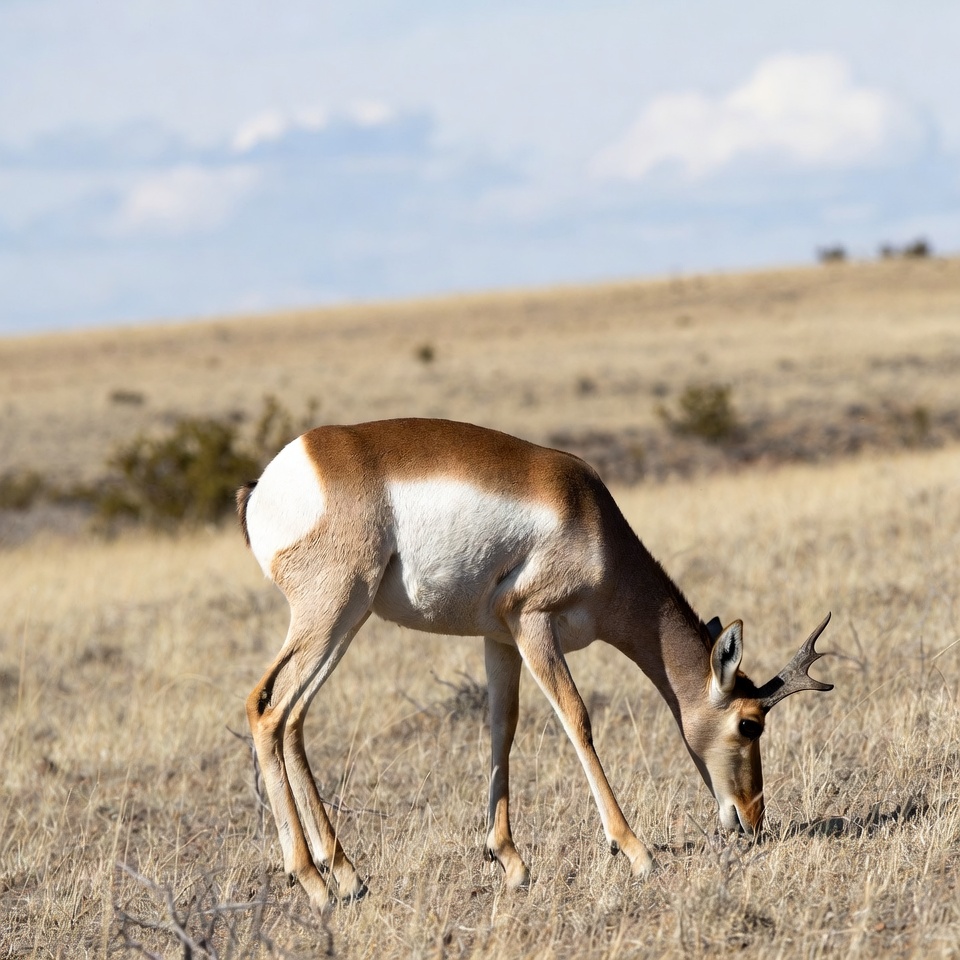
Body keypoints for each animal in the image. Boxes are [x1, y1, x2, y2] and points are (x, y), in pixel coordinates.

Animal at [237, 418, 832, 908]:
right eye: (750, 723)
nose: (752, 820)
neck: (588, 516)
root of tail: (274, 478)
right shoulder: (532, 623)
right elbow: (577, 719)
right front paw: (636, 852)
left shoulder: (499, 639)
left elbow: (503, 727)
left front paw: (511, 862)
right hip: (334, 612)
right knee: (265, 707)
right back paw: (312, 882)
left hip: (345, 622)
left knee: (292, 719)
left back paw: (346, 875)